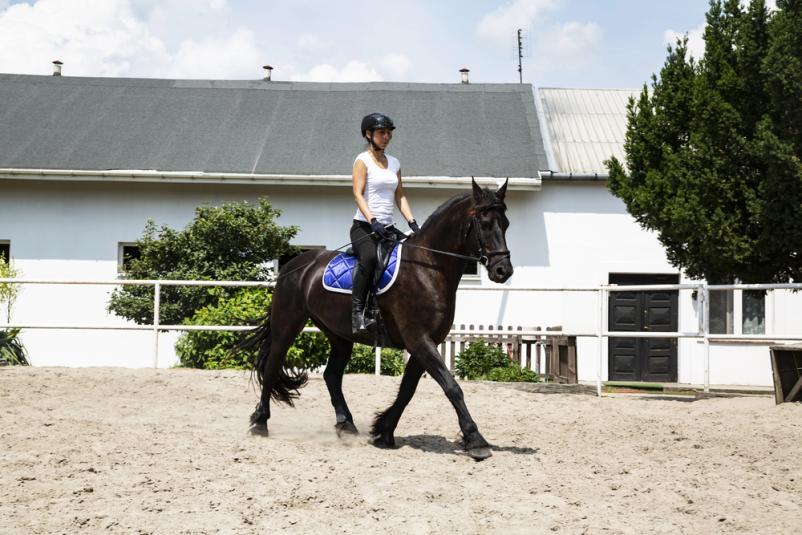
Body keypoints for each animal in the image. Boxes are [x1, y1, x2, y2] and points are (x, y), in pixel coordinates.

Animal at [242, 179, 512, 460]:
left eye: (505, 223)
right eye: (484, 223)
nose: (503, 270)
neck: (428, 267)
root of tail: (294, 265)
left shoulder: (425, 344)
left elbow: (407, 390)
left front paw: (383, 431)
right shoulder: (419, 341)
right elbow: (451, 386)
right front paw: (476, 440)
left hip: (339, 335)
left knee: (332, 375)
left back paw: (346, 426)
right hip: (287, 325)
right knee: (272, 366)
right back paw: (260, 423)